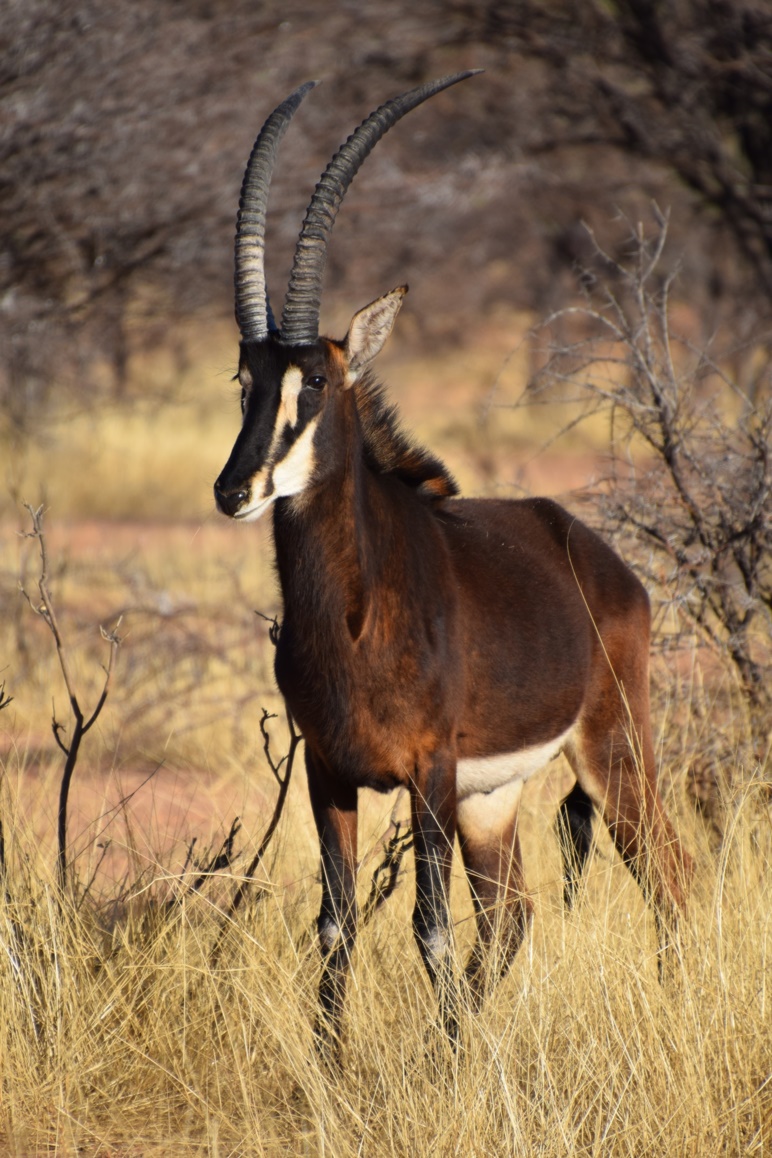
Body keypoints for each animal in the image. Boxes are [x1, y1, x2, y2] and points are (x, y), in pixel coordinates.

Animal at [213, 72, 692, 1061]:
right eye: (244, 382)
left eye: (318, 381)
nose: (234, 489)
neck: (355, 610)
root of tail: (595, 557)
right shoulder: (329, 771)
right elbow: (337, 921)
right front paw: (335, 1065)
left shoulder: (427, 772)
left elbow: (427, 926)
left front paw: (437, 1072)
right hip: (492, 801)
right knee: (512, 914)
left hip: (611, 753)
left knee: (666, 873)